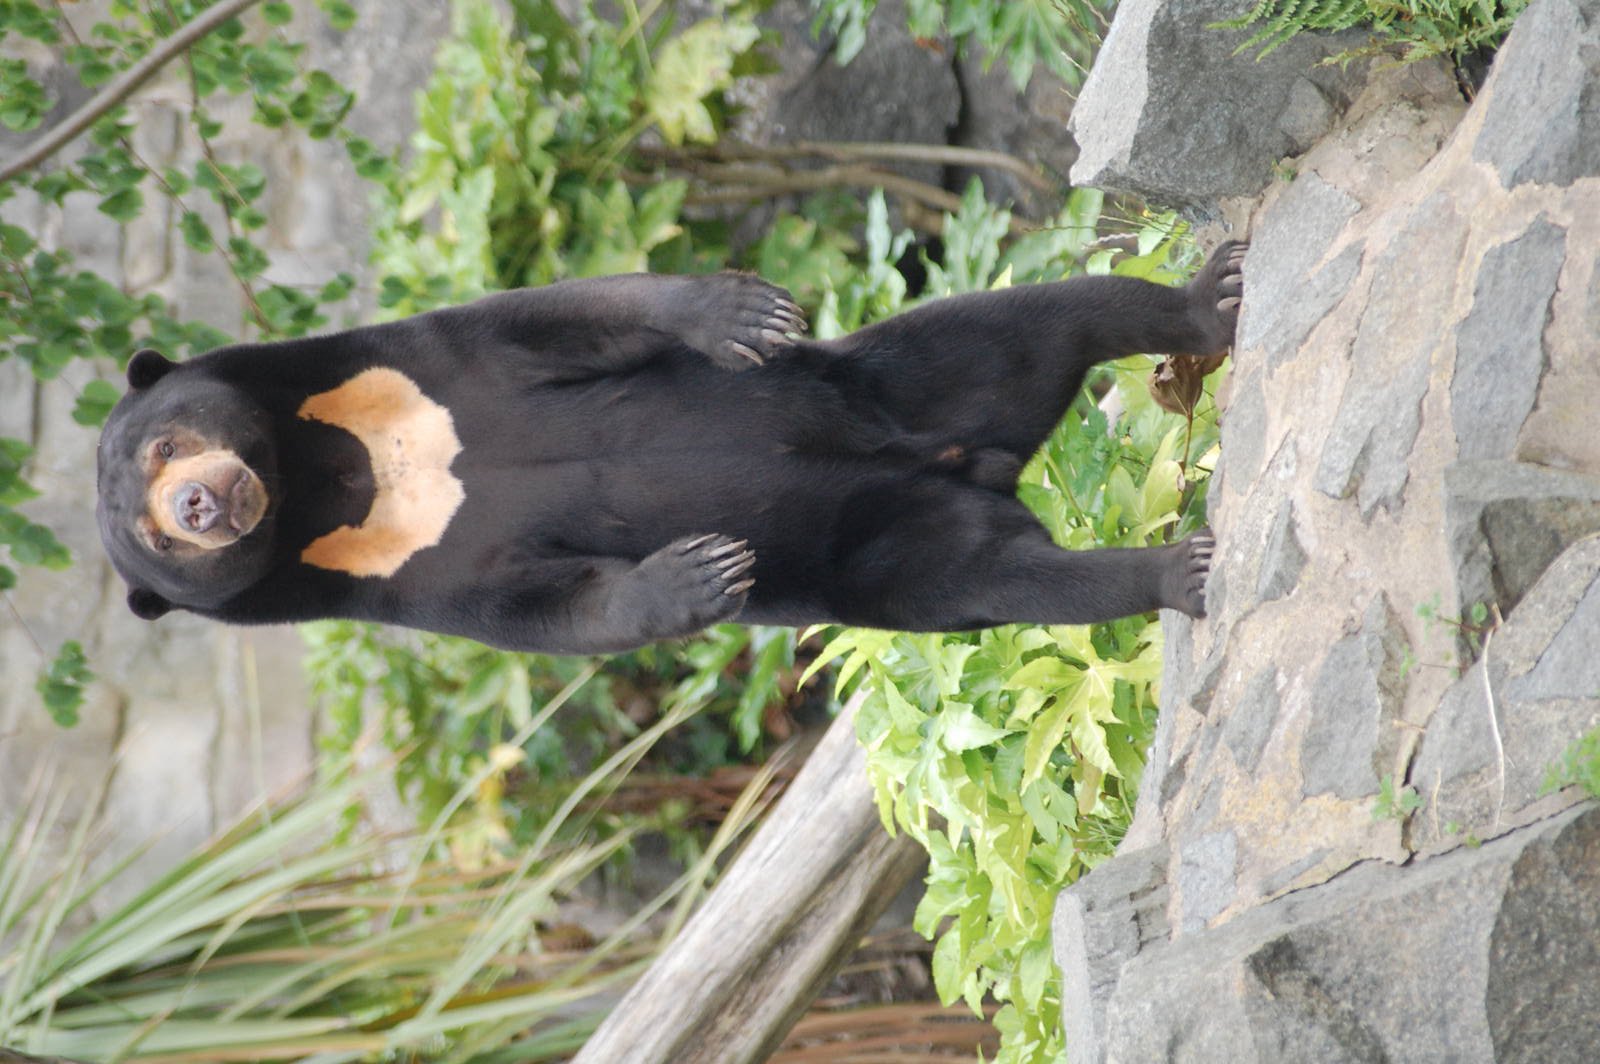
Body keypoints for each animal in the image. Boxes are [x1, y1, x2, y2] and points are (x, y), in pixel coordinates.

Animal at [96, 241, 1245, 655]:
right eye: (152, 534)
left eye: (161, 447)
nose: (201, 506)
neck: (343, 481)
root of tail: (972, 464)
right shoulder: (397, 579)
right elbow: (543, 608)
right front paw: (700, 573)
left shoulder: (416, 371)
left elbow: (559, 319)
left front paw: (738, 313)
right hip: (889, 548)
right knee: (1004, 577)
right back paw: (1174, 572)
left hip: (895, 380)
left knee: (1034, 321)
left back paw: (1210, 298)